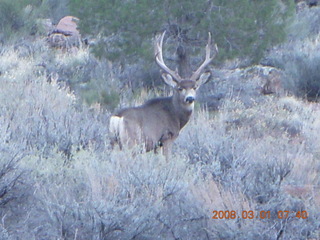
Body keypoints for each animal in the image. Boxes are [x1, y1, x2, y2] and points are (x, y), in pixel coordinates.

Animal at [110, 31, 218, 159]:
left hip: (113, 142)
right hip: (131, 142)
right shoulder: (167, 137)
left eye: (195, 87)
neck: (175, 115)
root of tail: (117, 117)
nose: (190, 98)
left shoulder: (156, 145)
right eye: (180, 88)